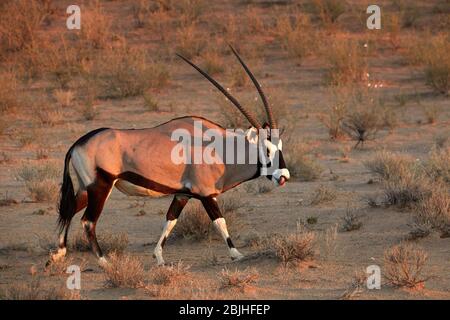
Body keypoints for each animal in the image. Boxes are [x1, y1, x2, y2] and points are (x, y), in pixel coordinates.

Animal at [51, 44, 292, 264]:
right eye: (267, 149)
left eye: (280, 146)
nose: (284, 176)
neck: (220, 148)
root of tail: (77, 144)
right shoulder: (206, 194)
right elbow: (219, 222)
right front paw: (237, 254)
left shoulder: (182, 194)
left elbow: (170, 220)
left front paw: (158, 257)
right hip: (101, 187)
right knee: (88, 221)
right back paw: (104, 262)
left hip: (86, 188)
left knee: (69, 210)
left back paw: (58, 254)